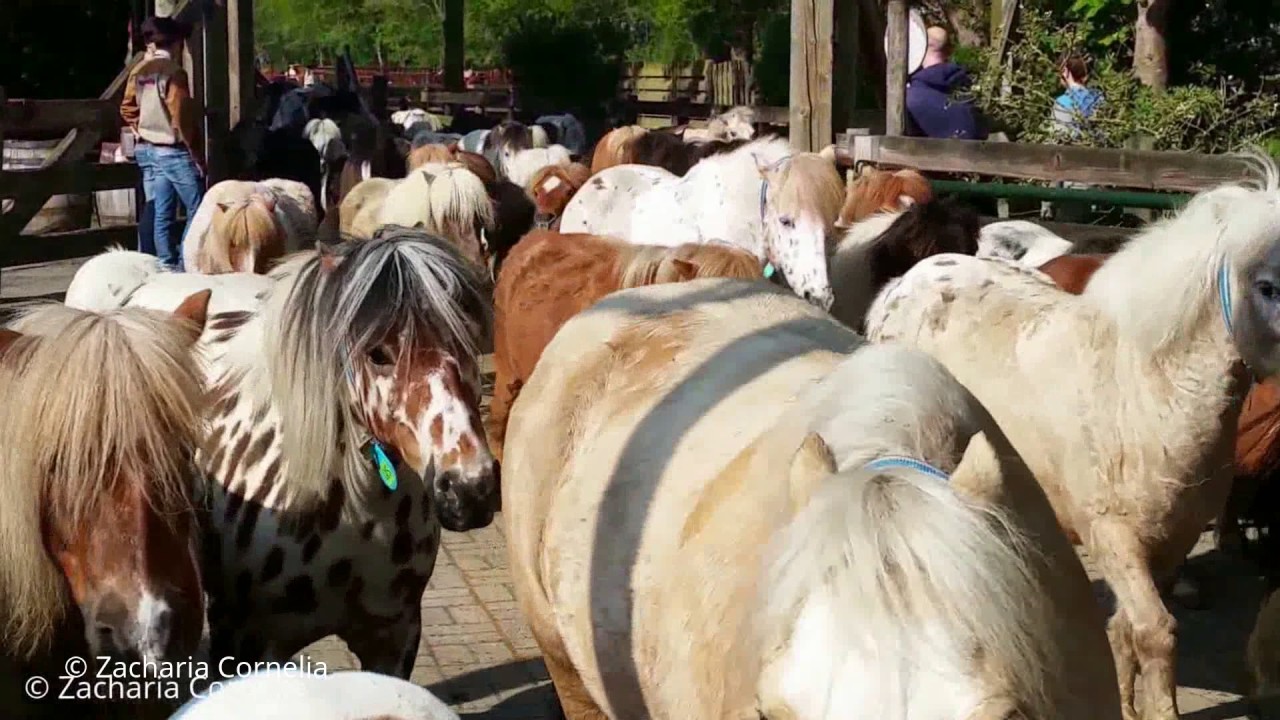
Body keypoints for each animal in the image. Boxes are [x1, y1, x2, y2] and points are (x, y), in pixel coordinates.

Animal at [864, 153, 1280, 720]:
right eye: (1267, 285)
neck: (1145, 392)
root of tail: (906, 283)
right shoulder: (1113, 538)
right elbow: (1156, 634)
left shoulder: (1172, 543)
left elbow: (1125, 631)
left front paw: (1125, 704)